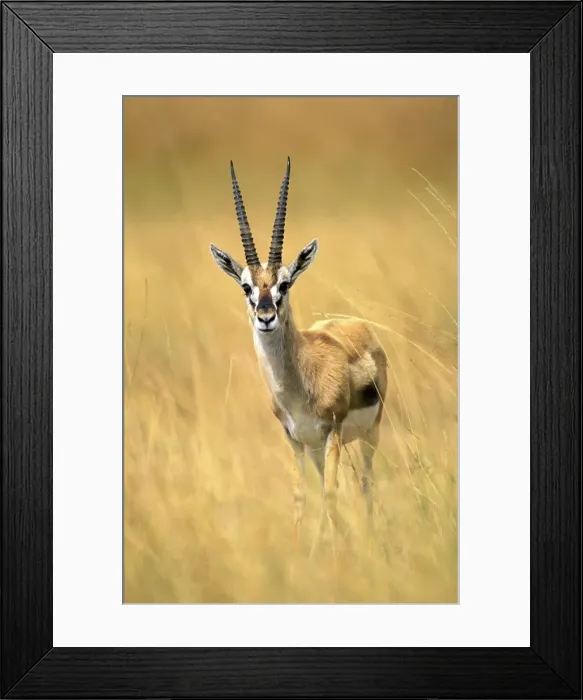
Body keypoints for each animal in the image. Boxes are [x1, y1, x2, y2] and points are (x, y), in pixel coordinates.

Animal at [210, 158, 388, 555]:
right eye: (246, 286)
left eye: (285, 283)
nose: (266, 317)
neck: (300, 384)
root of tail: (359, 325)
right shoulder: (295, 439)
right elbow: (301, 498)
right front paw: (299, 557)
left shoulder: (332, 432)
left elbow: (333, 494)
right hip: (318, 448)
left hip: (368, 435)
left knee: (365, 483)